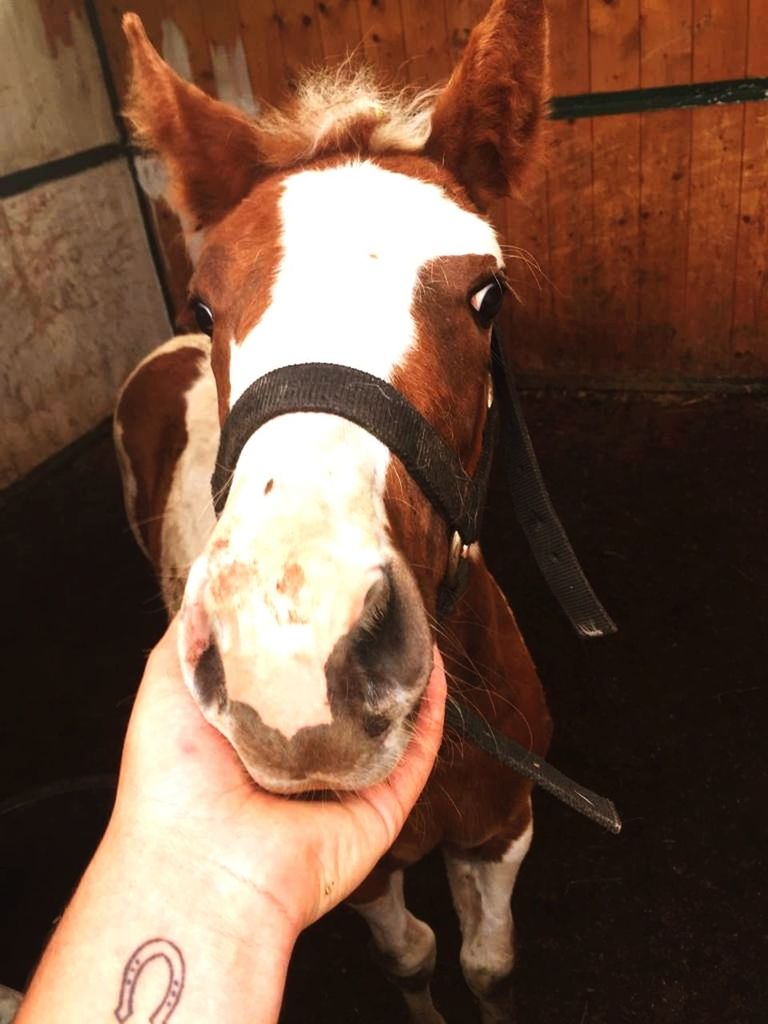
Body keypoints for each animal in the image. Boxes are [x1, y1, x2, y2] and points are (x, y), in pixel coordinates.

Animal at [114, 4, 557, 1019]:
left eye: (487, 295)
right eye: (205, 301)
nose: (289, 661)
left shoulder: (505, 828)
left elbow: (490, 964)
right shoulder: (365, 874)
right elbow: (414, 957)